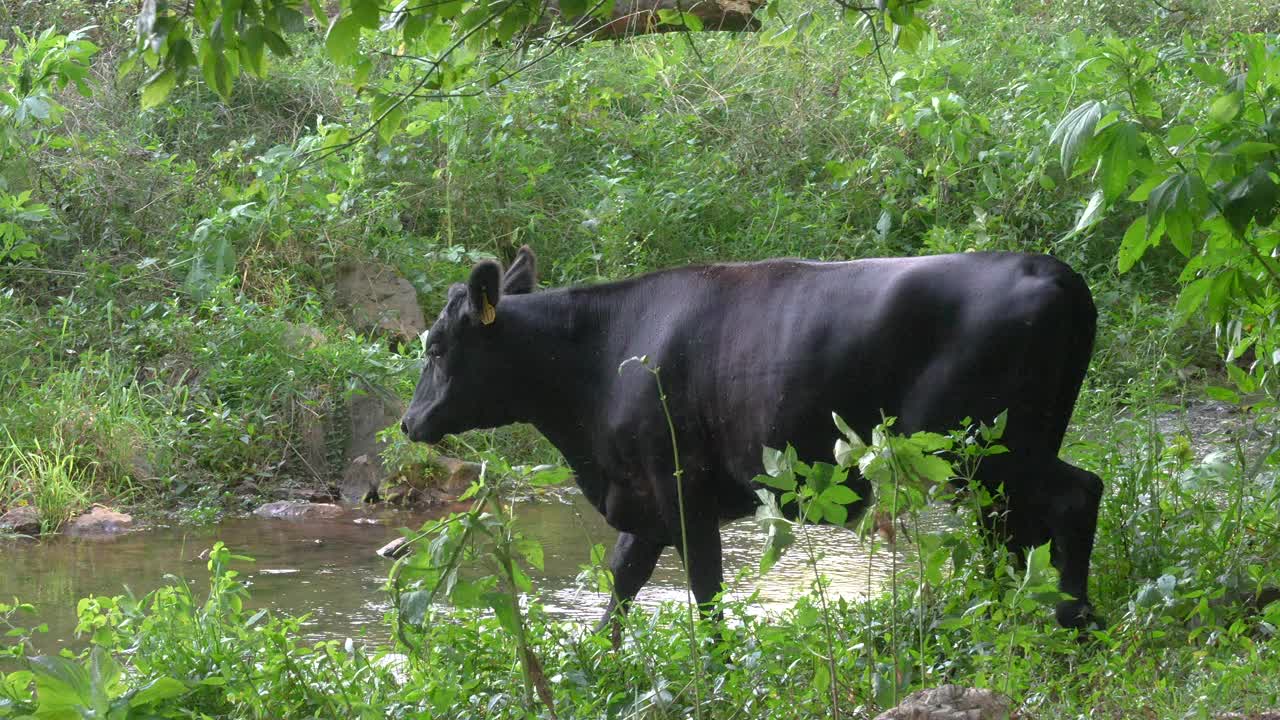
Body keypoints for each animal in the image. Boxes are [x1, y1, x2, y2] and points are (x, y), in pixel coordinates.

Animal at [404, 245, 1105, 627]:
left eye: (436, 347)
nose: (409, 422)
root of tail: (1051, 271)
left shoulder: (681, 494)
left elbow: (707, 593)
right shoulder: (645, 502)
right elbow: (619, 588)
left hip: (983, 450)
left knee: (1074, 497)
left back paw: (1070, 616)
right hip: (1001, 458)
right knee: (1021, 527)